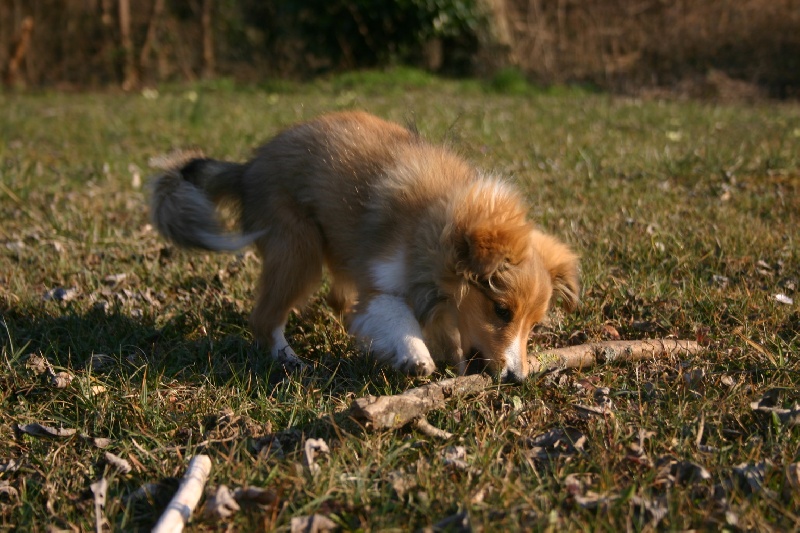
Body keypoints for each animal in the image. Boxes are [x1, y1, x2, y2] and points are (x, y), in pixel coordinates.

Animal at [150, 110, 580, 380]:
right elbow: (395, 315)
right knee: (265, 318)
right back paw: (291, 361)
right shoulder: (382, 283)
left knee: (333, 301)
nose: (517, 380)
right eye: (501, 311)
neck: (434, 225)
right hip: (298, 249)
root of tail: (247, 168)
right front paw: (415, 356)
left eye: (534, 325)